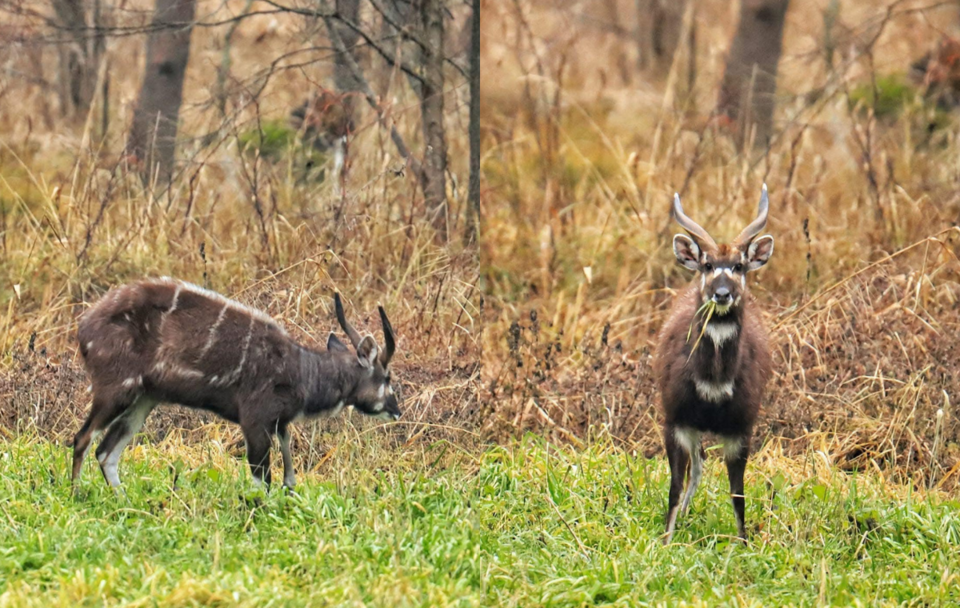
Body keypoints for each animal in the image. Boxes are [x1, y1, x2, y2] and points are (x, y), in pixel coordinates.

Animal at [72, 278, 402, 492]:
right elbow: (262, 481)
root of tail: (84, 326)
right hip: (117, 389)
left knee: (106, 453)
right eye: (386, 377)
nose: (396, 410)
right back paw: (77, 496)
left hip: (144, 400)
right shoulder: (255, 420)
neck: (302, 371)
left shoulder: (280, 424)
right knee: (82, 439)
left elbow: (289, 478)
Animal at [656, 184, 776, 540]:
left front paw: (744, 542)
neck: (712, 386)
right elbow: (674, 487)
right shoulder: (676, 420)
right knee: (696, 467)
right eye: (707, 265)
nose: (722, 294)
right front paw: (665, 540)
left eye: (739, 265)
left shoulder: (741, 428)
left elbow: (739, 495)